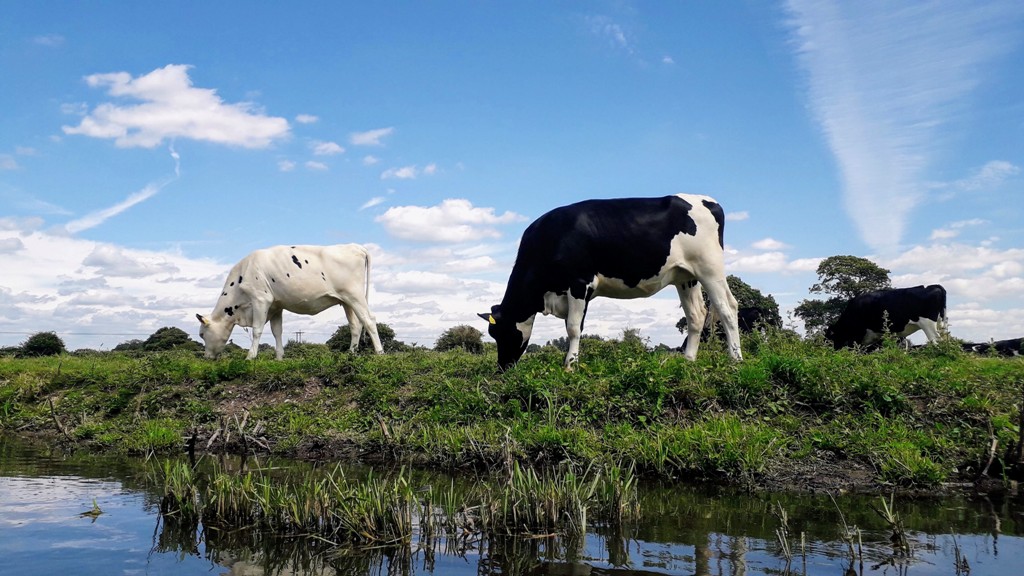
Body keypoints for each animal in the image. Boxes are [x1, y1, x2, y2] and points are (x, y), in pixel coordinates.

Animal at [197, 244, 383, 359]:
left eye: (201, 334)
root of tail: (355, 246)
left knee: (369, 320)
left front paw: (250, 357)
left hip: (355, 295)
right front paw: (279, 357)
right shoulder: (276, 306)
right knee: (355, 326)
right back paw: (351, 354)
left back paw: (380, 353)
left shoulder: (260, 299)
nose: (206, 357)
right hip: (346, 301)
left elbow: (257, 329)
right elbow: (277, 331)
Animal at [479, 194, 742, 370]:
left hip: (710, 268)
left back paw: (736, 360)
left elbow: (573, 327)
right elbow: (571, 327)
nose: (502, 368)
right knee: (696, 315)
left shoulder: (579, 282)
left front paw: (570, 365)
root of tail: (708, 201)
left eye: (499, 332)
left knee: (728, 308)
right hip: (686, 276)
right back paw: (688, 361)